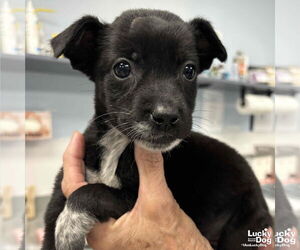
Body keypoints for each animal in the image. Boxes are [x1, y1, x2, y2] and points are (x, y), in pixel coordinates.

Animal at [43, 8, 274, 250]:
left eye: (189, 70)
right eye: (122, 68)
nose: (166, 117)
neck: (117, 146)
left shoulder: (132, 204)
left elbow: (91, 192)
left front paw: (68, 227)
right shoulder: (62, 190)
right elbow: (55, 216)